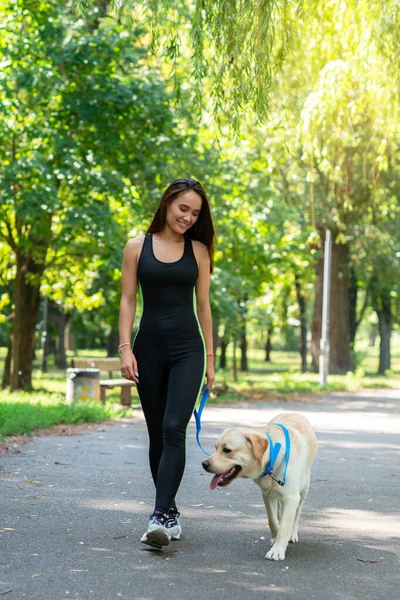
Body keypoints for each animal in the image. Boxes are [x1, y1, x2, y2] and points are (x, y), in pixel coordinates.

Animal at [203, 410, 318, 560]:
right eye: (215, 448)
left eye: (227, 450)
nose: (204, 464)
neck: (273, 457)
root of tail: (293, 412)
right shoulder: (267, 494)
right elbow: (272, 520)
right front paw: (275, 537)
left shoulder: (291, 498)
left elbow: (285, 525)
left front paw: (277, 550)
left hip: (304, 489)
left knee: (297, 512)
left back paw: (292, 533)